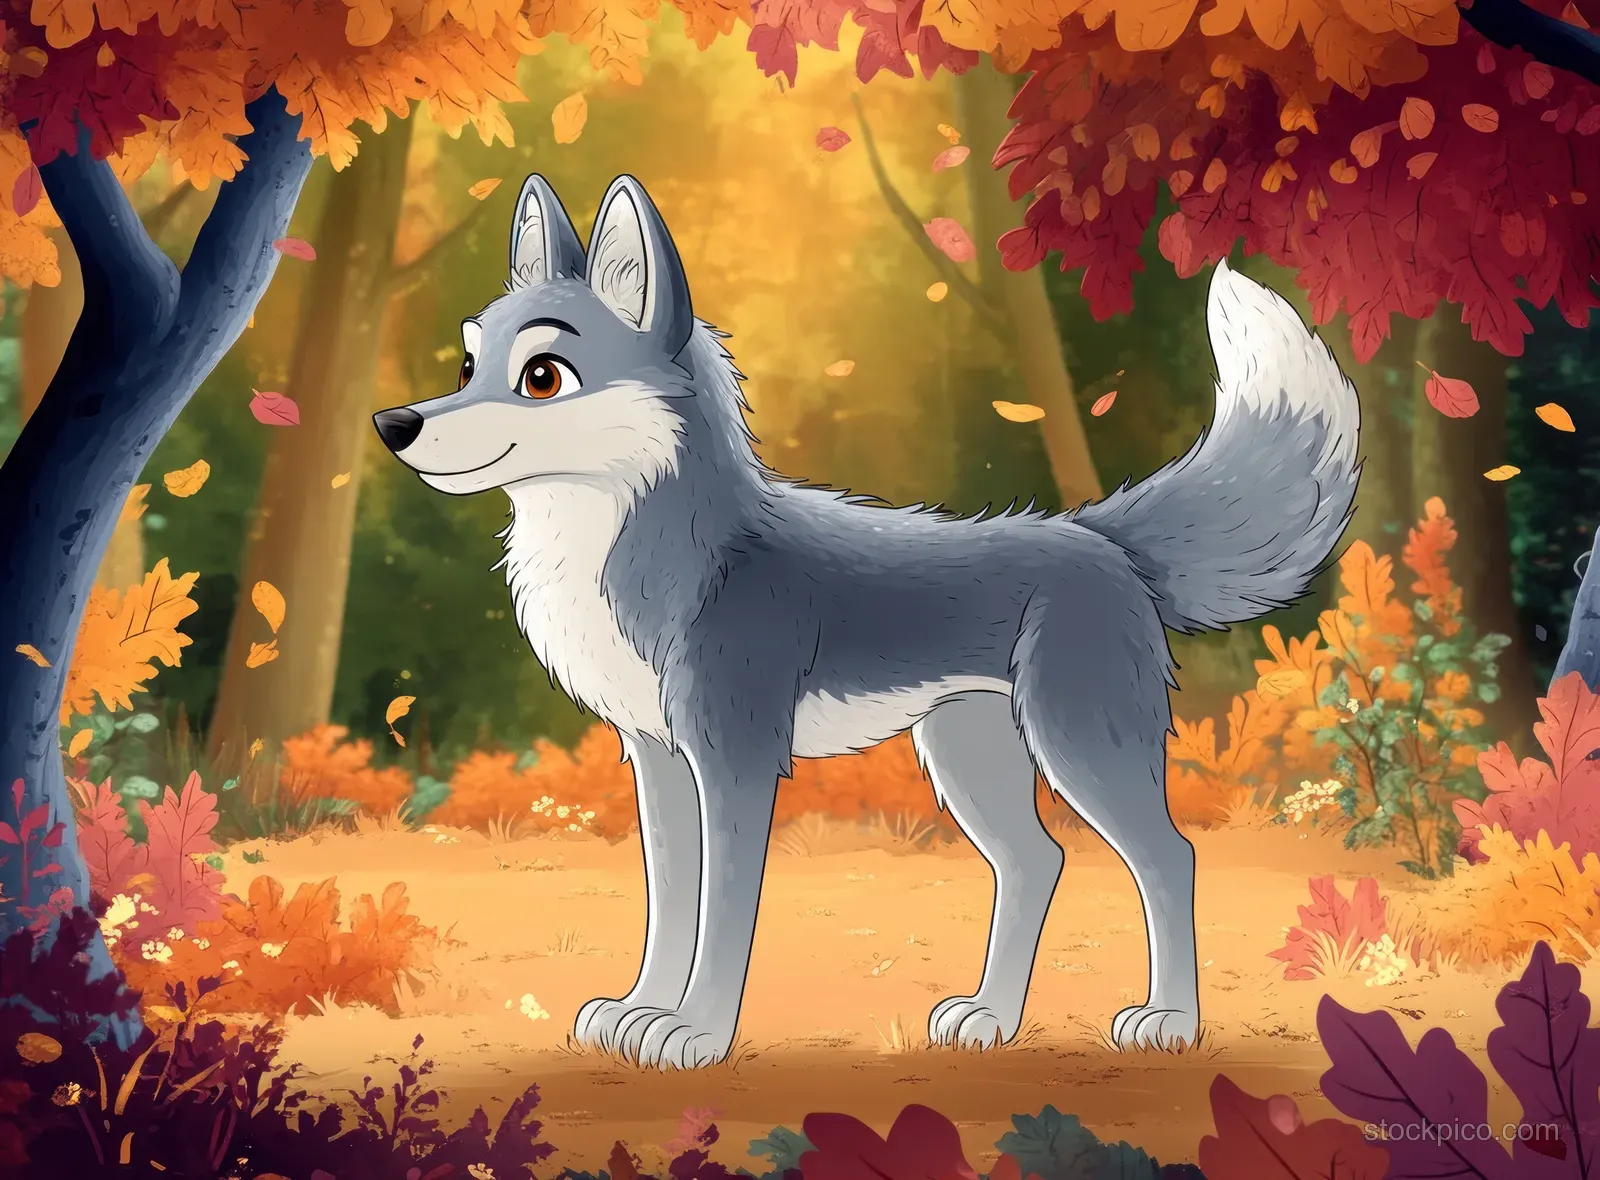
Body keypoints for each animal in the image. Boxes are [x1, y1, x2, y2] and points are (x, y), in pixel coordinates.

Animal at [373, 172, 1361, 1070]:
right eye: (467, 367)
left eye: (542, 376)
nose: (392, 423)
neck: (658, 554)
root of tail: (1100, 537)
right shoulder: (657, 759)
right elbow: (670, 907)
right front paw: (637, 1014)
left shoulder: (735, 763)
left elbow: (723, 918)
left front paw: (694, 1035)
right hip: (968, 758)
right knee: (1037, 862)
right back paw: (990, 1020)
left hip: (1080, 750)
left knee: (1169, 858)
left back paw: (1170, 1023)